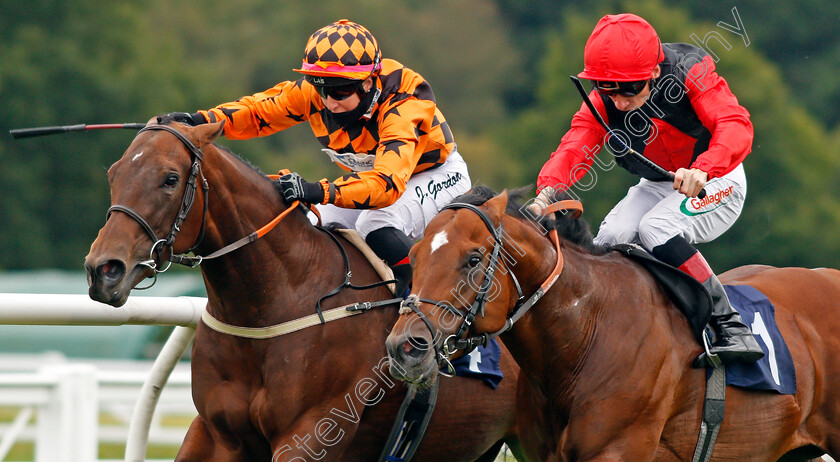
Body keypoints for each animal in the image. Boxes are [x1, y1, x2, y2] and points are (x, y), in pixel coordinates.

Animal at [85, 122, 532, 462]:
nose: (103, 270)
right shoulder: (216, 432)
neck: (276, 301)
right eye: (113, 174)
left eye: (170, 178)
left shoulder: (313, 432)